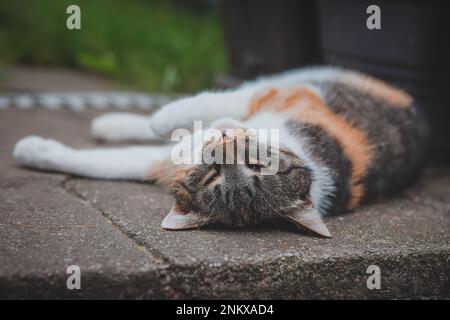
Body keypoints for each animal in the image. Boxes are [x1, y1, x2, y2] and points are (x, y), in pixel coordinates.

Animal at [13, 67, 428, 238]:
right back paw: (116, 121)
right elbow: (219, 102)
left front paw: (30, 150)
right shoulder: (298, 96)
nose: (220, 151)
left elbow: (110, 163)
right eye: (257, 163)